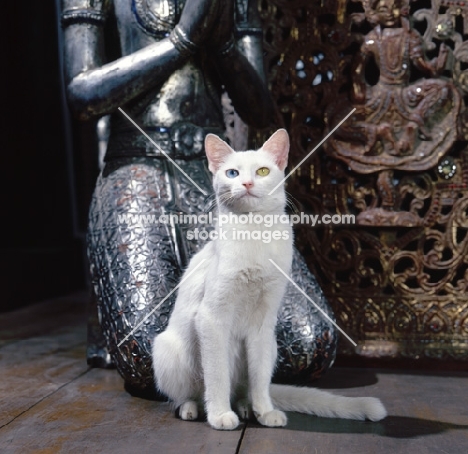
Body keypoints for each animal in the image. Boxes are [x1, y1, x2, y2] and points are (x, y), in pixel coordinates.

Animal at [151, 129, 388, 430]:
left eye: (262, 171)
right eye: (232, 173)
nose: (247, 182)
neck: (255, 231)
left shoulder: (263, 322)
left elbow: (260, 378)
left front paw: (264, 412)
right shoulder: (211, 318)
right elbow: (217, 376)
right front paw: (220, 415)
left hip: (273, 345)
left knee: (243, 389)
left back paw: (245, 407)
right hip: (167, 350)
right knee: (187, 394)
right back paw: (194, 409)